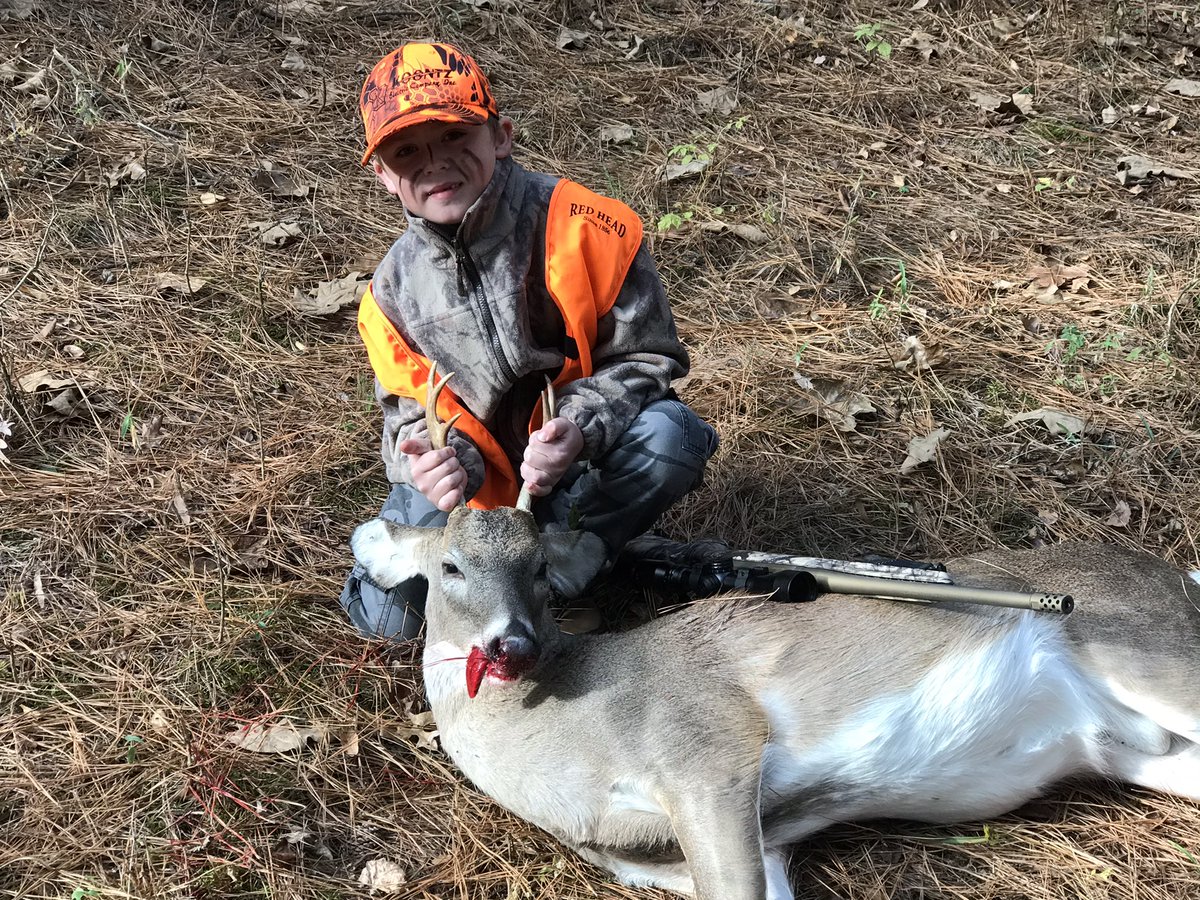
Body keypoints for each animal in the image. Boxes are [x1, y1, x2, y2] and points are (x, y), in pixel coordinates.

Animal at [349, 366, 1200, 900]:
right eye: (451, 566)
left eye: (538, 568)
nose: (513, 644)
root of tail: (1177, 576)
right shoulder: (677, 859)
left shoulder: (710, 749)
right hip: (1129, 749)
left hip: (1148, 650)